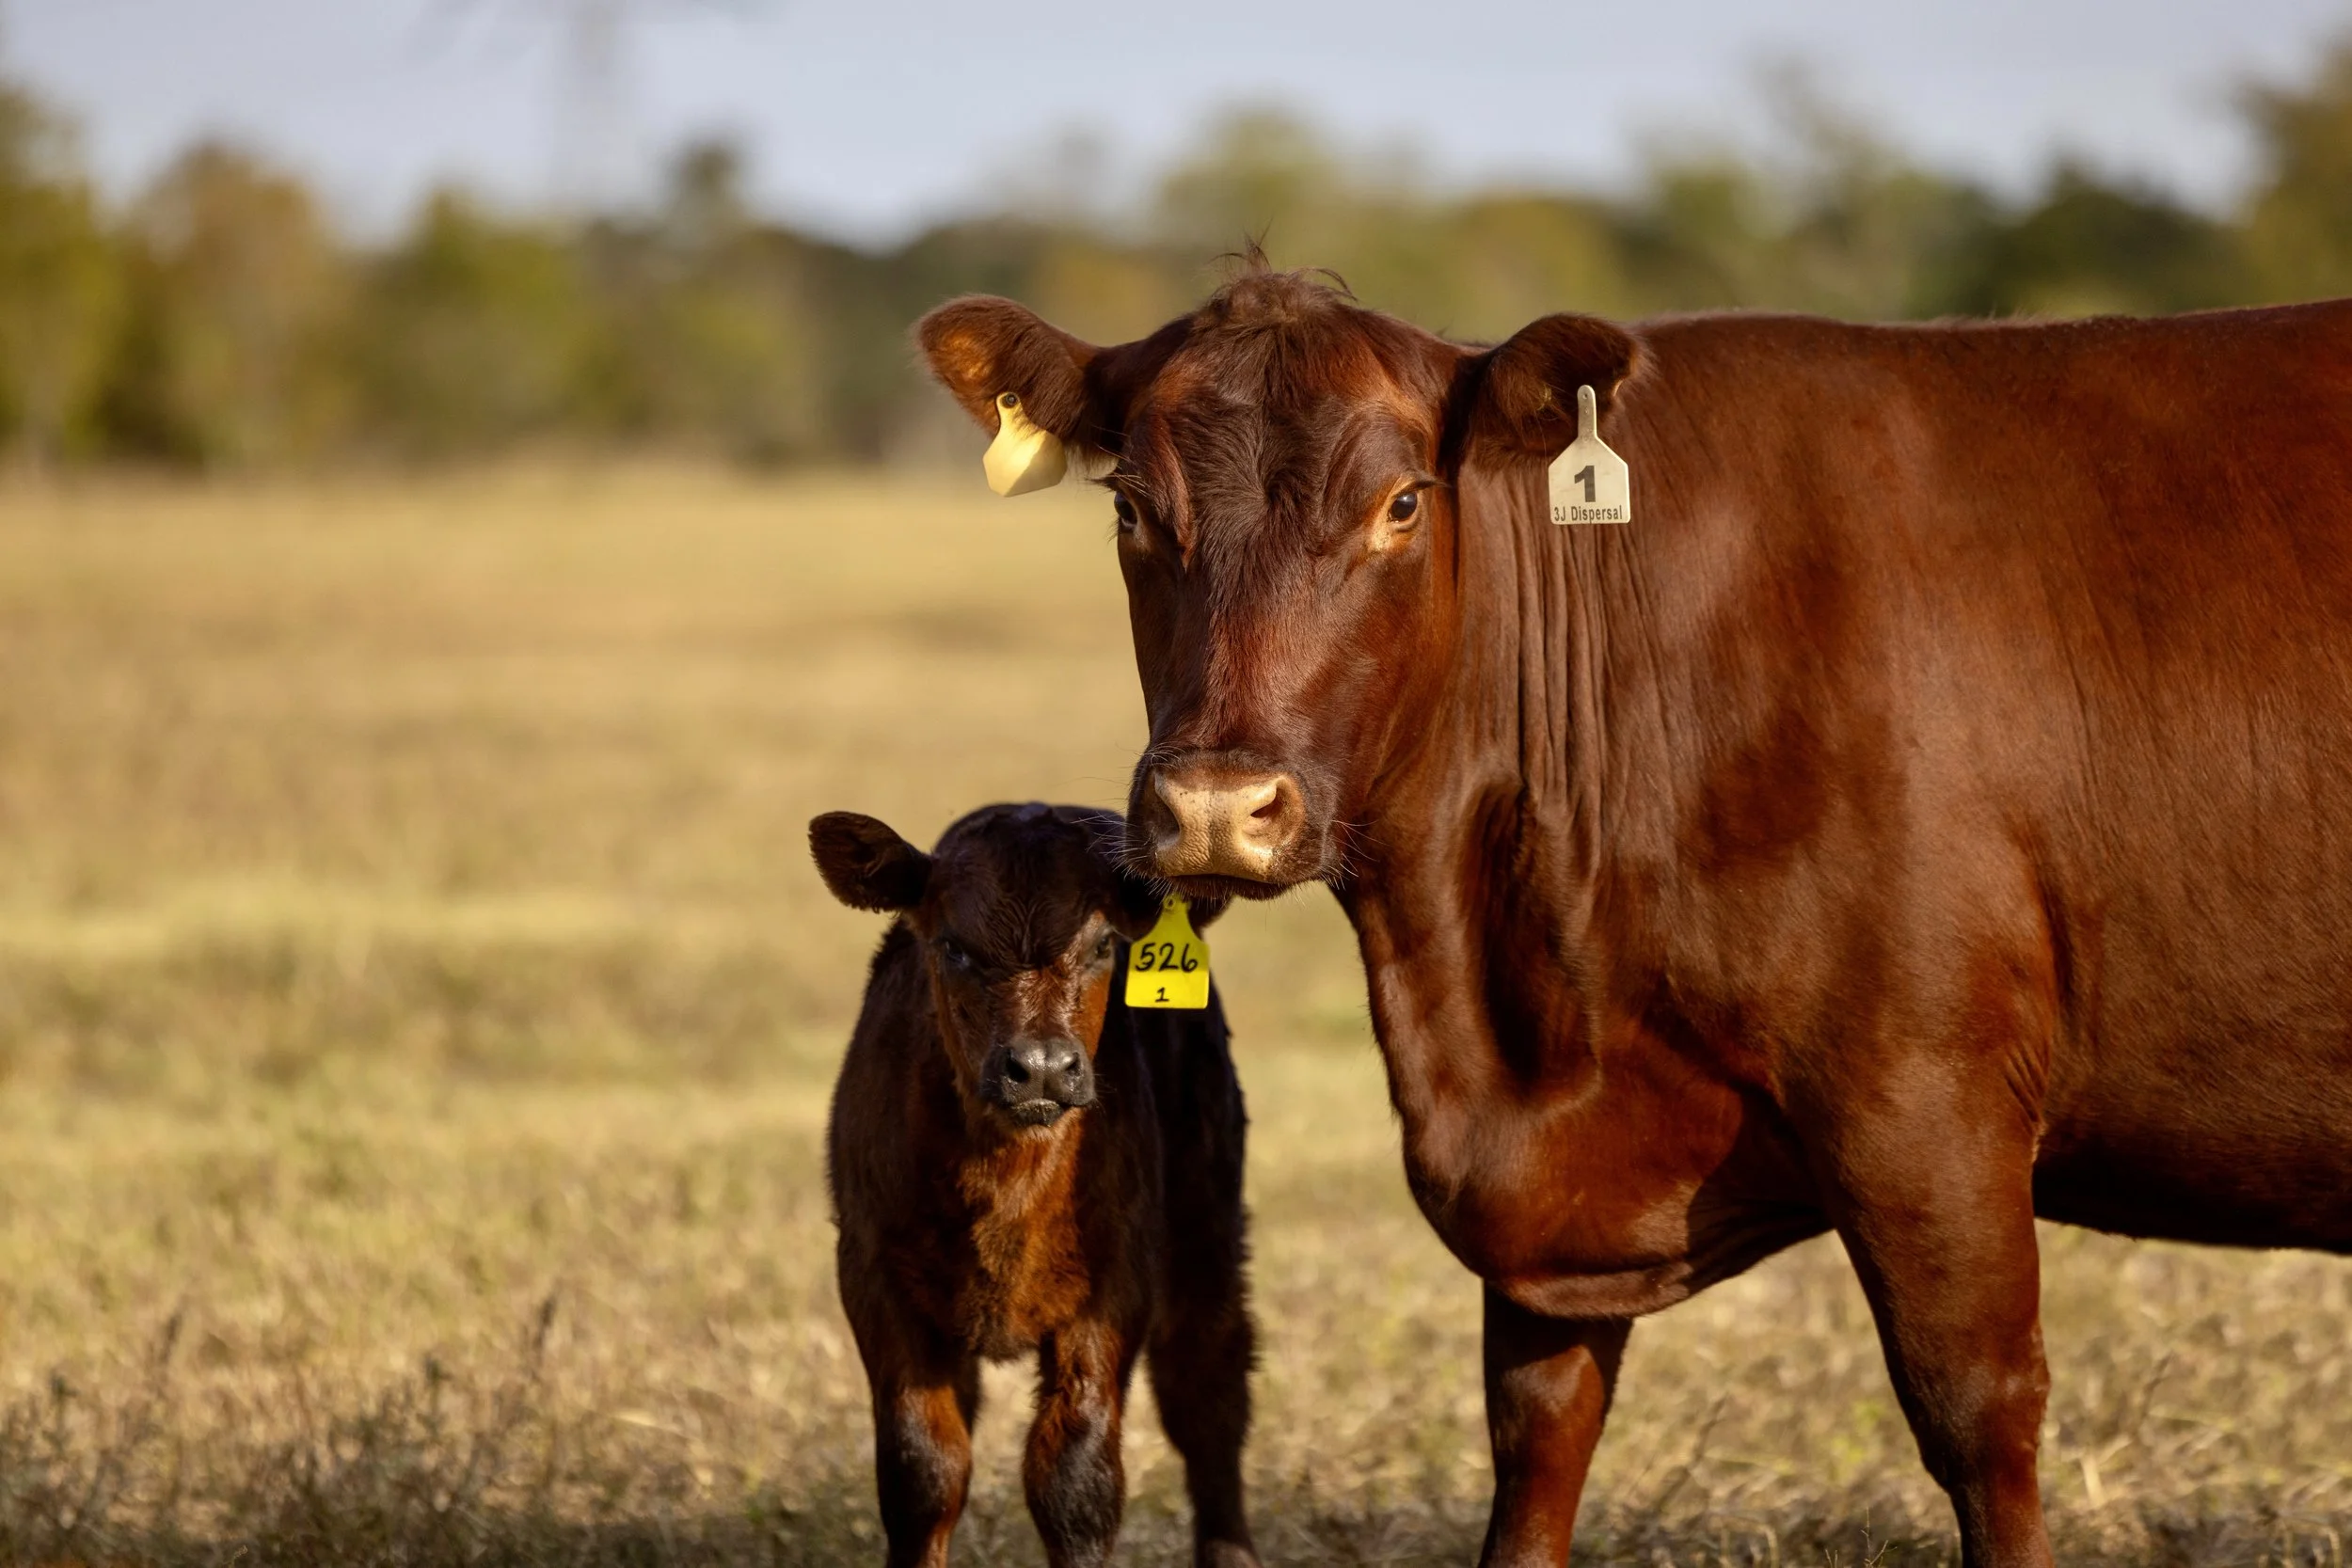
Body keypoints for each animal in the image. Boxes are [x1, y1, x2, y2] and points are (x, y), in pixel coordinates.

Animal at [812, 802, 1259, 1568]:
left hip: (1207, 1221)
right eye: (953, 946)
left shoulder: (1113, 1284)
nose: (1043, 1067)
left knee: (1208, 1393)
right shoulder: (873, 1273)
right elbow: (923, 1470)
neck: (1006, 1182)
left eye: (1105, 943)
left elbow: (1075, 1479)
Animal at [916, 265, 2352, 1567]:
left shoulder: (1930, 1105)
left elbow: (1980, 1416)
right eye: (1129, 508)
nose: (1217, 806)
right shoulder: (1551, 1210)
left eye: (1401, 502)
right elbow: (1536, 1441)